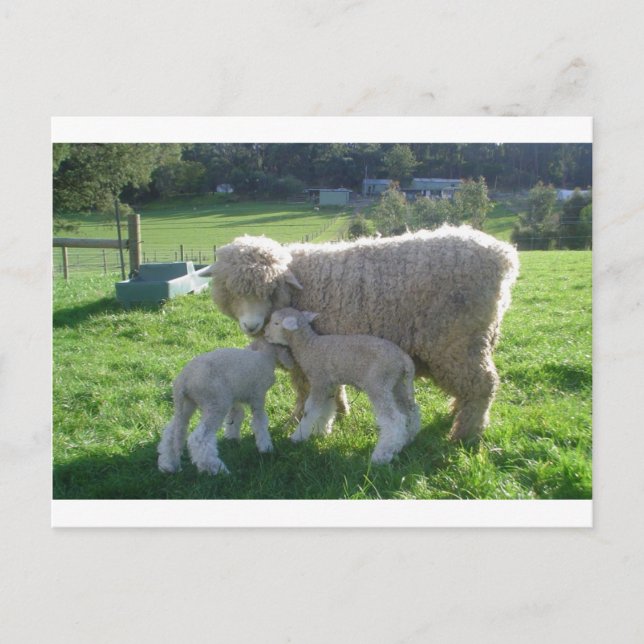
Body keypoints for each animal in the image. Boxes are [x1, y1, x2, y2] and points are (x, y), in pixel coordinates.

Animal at [157, 339, 293, 475]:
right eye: (286, 347)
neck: (265, 356)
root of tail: (183, 380)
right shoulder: (258, 395)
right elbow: (260, 421)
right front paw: (265, 447)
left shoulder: (234, 397)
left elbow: (236, 415)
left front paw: (232, 437)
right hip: (216, 403)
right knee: (199, 438)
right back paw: (217, 469)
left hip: (186, 404)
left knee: (172, 432)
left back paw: (168, 465)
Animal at [204, 225, 519, 441]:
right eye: (230, 290)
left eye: (269, 289)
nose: (251, 326)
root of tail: (503, 256)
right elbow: (334, 389)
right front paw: (341, 412)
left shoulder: (306, 359)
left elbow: (304, 391)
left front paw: (296, 420)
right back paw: (457, 413)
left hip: (457, 341)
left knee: (483, 384)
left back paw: (466, 433)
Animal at [264, 307, 420, 464]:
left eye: (276, 323)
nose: (265, 333)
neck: (308, 346)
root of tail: (404, 358)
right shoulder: (329, 385)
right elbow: (326, 409)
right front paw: (321, 431)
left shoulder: (319, 381)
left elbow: (310, 410)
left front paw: (298, 437)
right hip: (396, 383)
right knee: (411, 411)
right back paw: (407, 440)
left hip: (378, 383)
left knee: (395, 419)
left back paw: (382, 455)